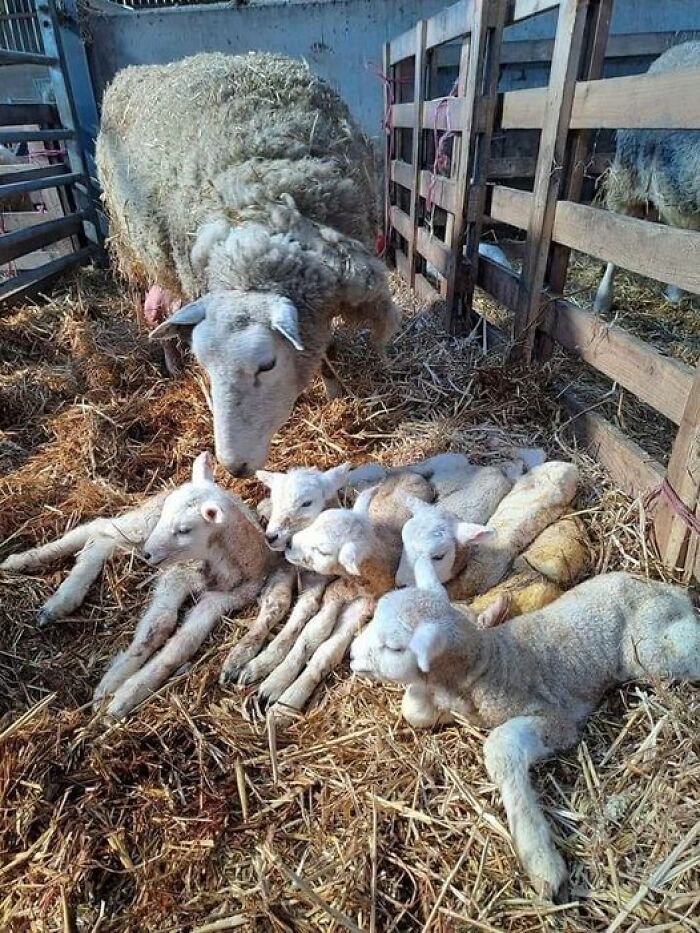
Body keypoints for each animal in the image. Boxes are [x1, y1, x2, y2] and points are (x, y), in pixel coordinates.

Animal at [96, 52, 399, 475]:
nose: (233, 467)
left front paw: (333, 388)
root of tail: (127, 74)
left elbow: (322, 347)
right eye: (206, 365)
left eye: (267, 365)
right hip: (132, 248)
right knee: (148, 307)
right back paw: (171, 363)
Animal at [350, 567, 700, 901]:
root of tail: (672, 590)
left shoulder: (557, 721)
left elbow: (502, 746)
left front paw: (541, 862)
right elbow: (415, 710)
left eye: (395, 647)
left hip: (653, 651)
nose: (352, 654)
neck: (491, 664)